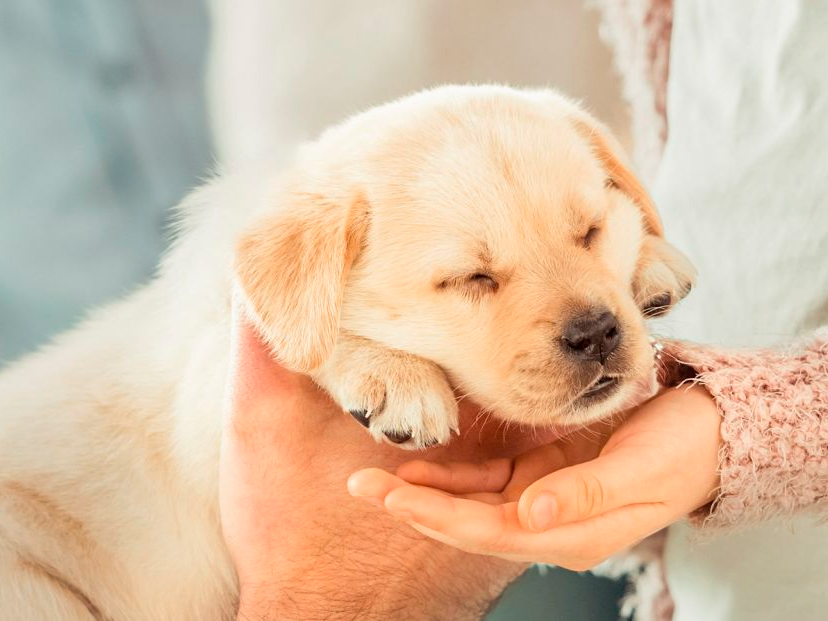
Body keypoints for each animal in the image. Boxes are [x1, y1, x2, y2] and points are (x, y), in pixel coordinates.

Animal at [0, 85, 692, 616]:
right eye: (471, 279)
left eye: (591, 232)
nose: (598, 333)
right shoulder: (208, 399)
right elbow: (301, 337)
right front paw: (390, 376)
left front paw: (655, 264)